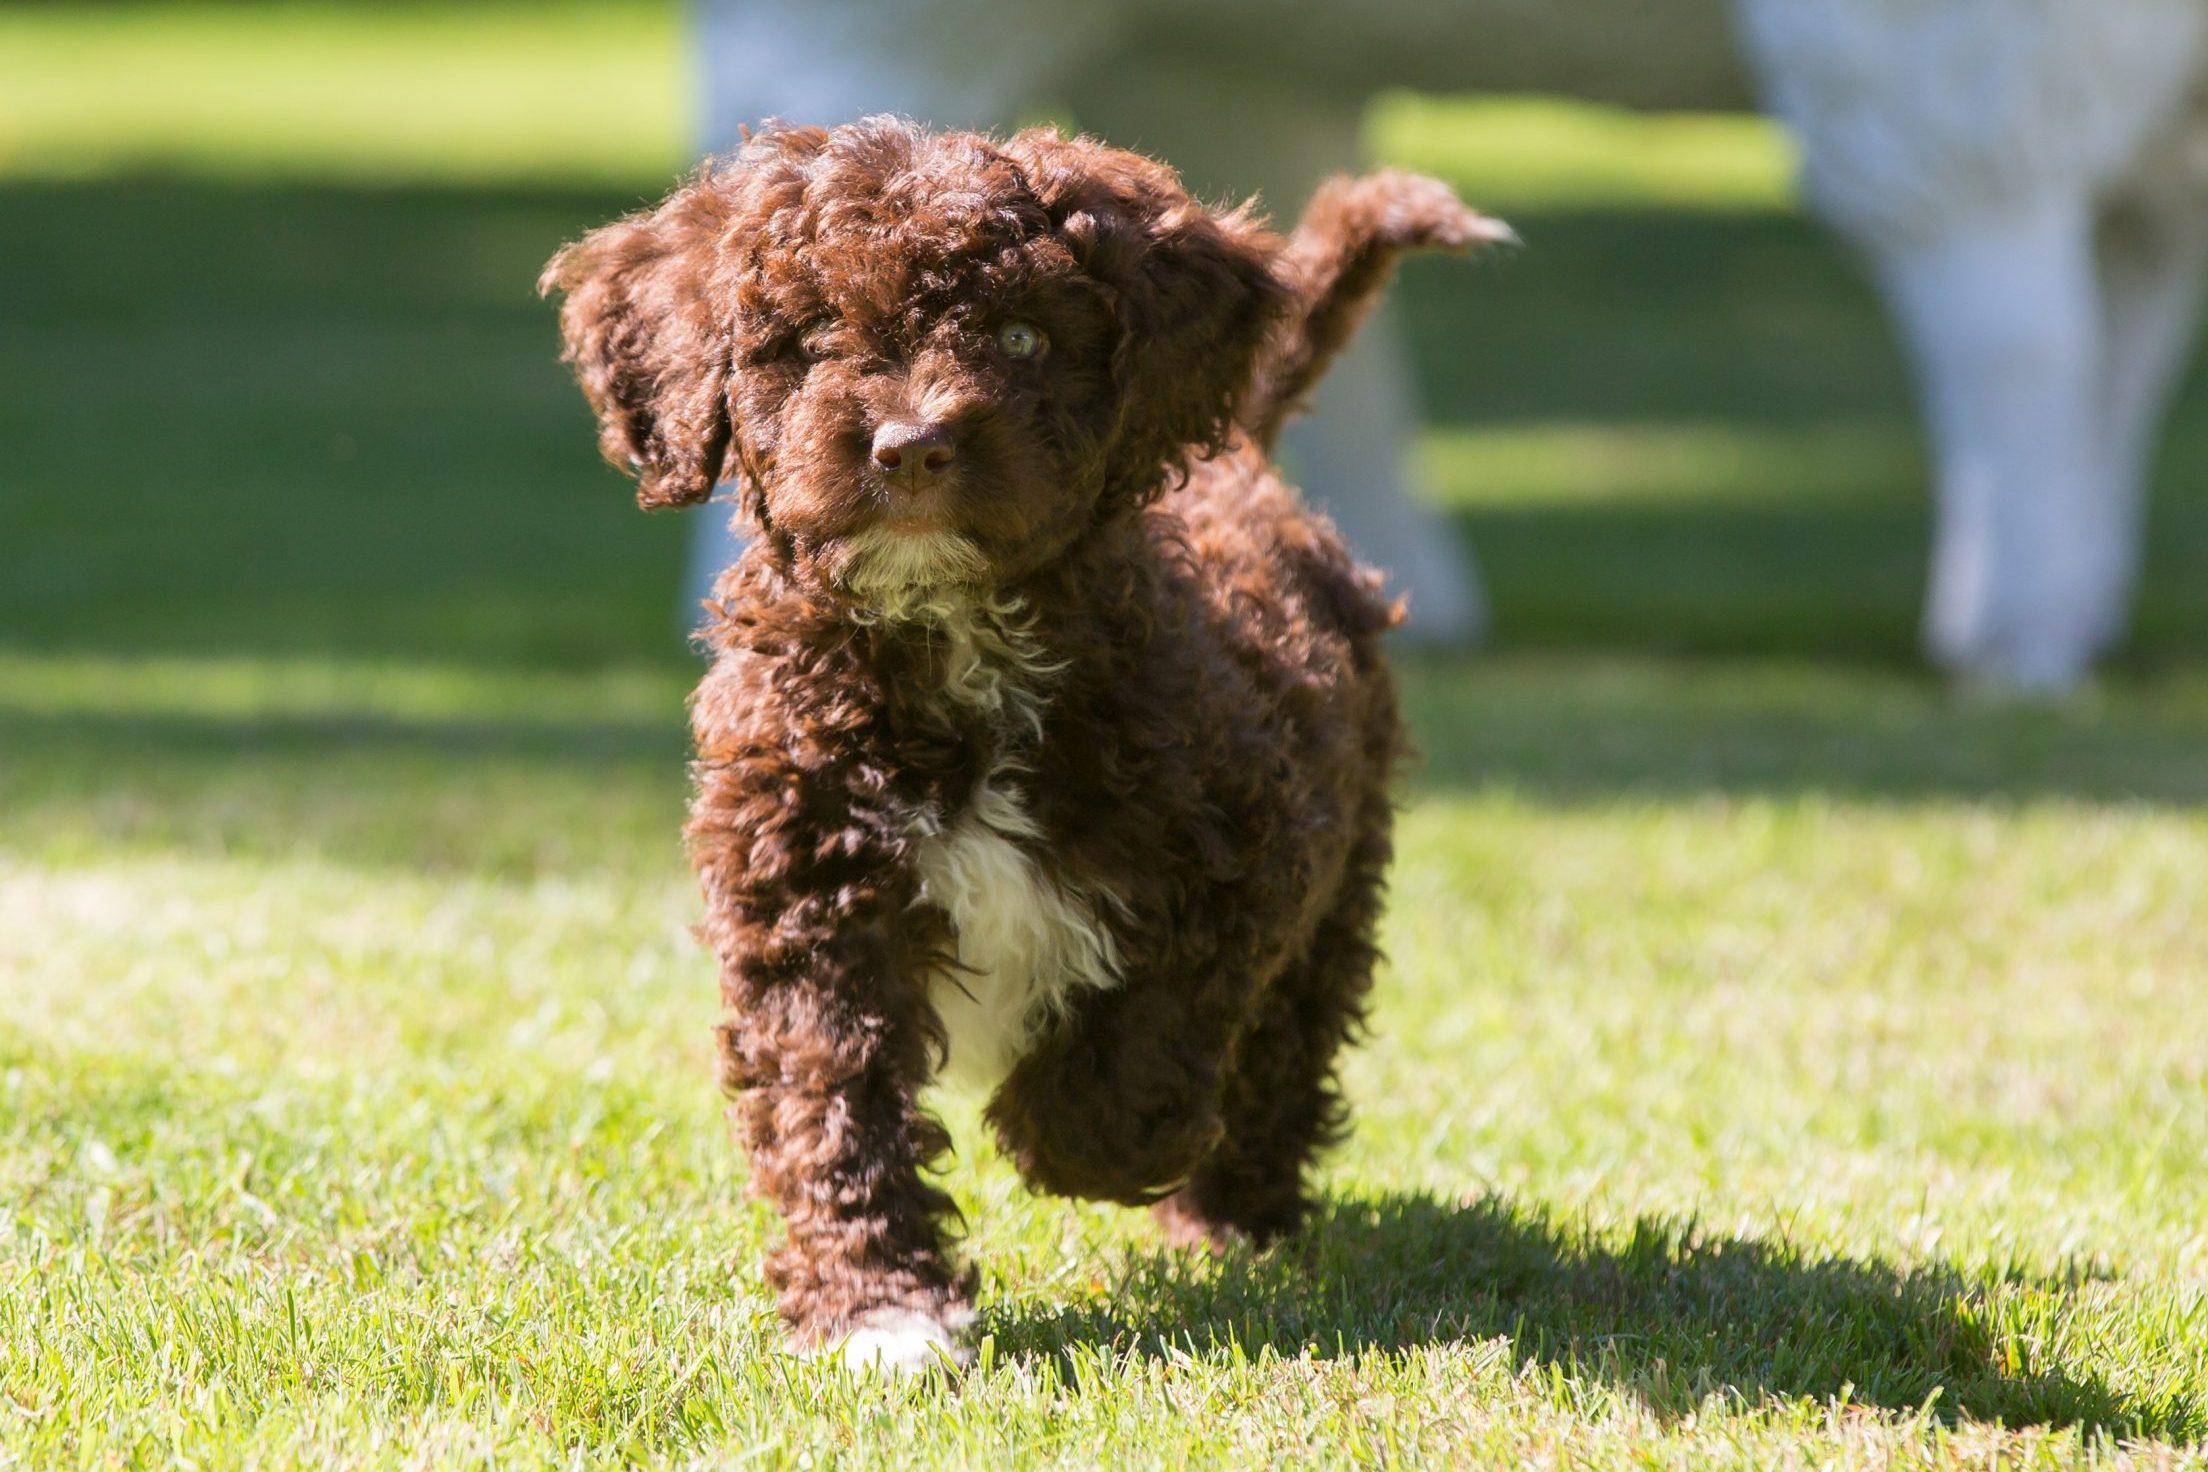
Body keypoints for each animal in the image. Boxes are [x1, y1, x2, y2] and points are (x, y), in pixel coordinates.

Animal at [538, 120, 1501, 1377]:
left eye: (1023, 337)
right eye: (809, 340)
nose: (910, 448)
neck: (955, 635)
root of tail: (1240, 453)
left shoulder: (1243, 853)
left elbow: (1143, 1049)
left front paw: (1062, 1132)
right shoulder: (805, 892)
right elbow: (829, 1097)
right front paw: (878, 1308)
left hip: (1339, 882)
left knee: (1284, 1055)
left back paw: (1228, 1220)